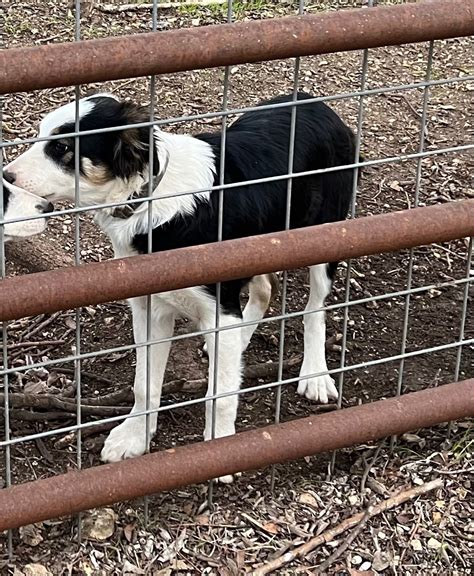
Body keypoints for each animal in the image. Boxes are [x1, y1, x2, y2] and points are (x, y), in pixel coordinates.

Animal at [6, 91, 356, 476]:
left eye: (63, 147)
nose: (6, 175)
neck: (147, 200)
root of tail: (313, 101)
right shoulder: (150, 308)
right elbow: (144, 384)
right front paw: (135, 436)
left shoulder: (219, 306)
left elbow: (219, 394)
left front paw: (221, 449)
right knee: (264, 291)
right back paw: (243, 340)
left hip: (323, 238)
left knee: (315, 309)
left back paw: (315, 374)